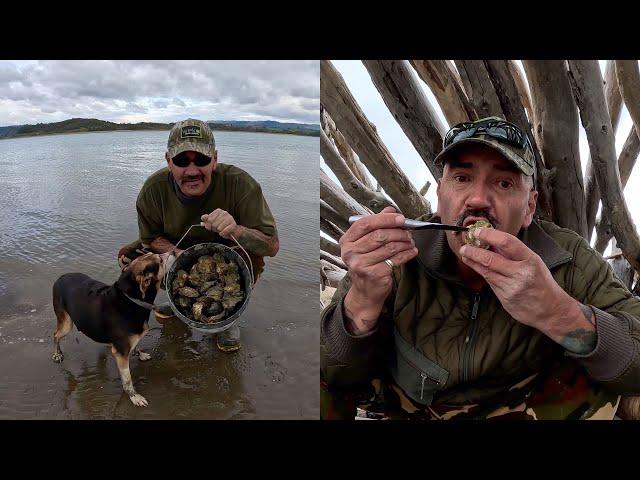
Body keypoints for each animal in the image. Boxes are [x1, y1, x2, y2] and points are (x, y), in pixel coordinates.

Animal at [51, 253, 169, 406]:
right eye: (160, 260)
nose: (172, 252)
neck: (131, 299)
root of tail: (61, 277)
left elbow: (135, 346)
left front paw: (140, 354)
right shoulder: (121, 353)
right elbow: (127, 379)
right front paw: (134, 396)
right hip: (66, 323)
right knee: (56, 334)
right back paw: (57, 354)